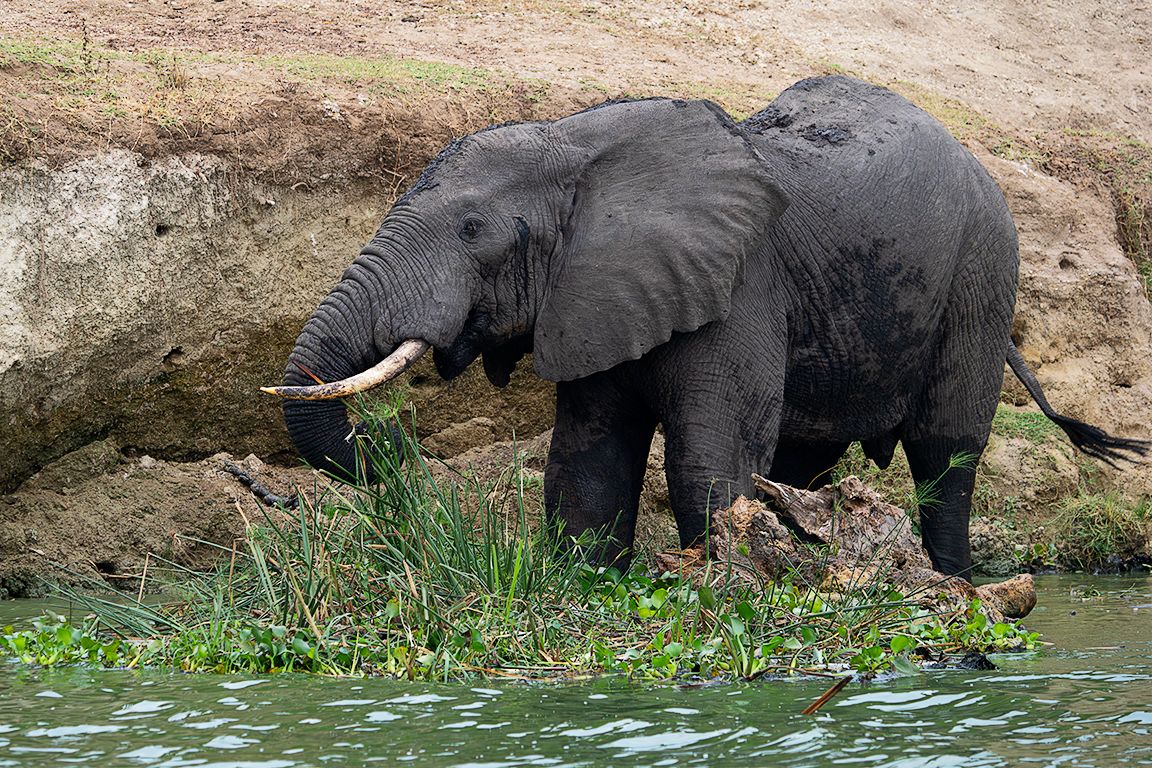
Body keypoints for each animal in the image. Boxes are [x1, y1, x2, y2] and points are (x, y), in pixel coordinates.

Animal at [265, 75, 1147, 580]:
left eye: (473, 229)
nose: (395, 448)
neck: (576, 140)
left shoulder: (742, 280)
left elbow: (710, 464)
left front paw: (715, 591)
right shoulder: (600, 292)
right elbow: (587, 466)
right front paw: (597, 587)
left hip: (982, 271)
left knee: (945, 456)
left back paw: (958, 587)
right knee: (803, 462)